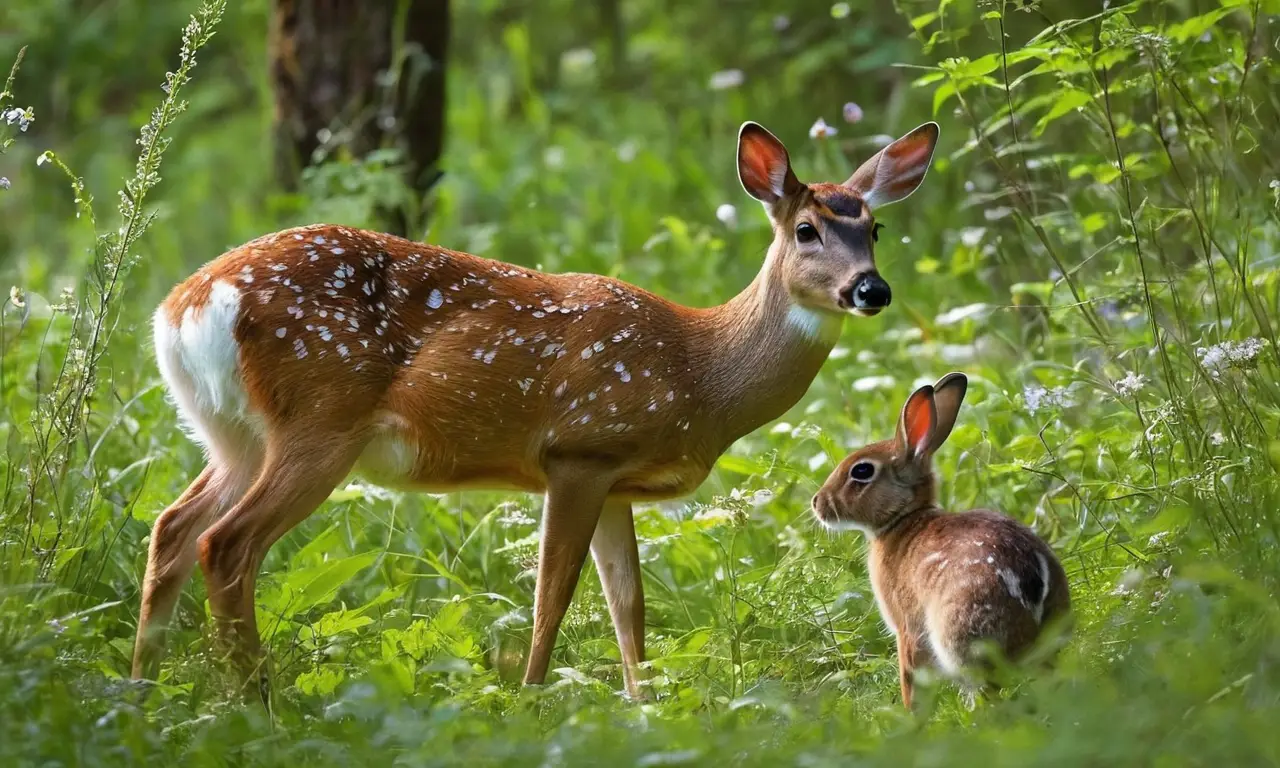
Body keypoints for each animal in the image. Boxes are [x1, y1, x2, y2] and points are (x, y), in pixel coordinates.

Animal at [132, 119, 940, 700]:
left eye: (874, 229)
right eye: (806, 230)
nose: (871, 289)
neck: (700, 372)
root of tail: (186, 307)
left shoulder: (617, 482)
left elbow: (628, 607)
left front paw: (644, 707)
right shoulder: (579, 450)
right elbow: (554, 596)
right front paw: (529, 700)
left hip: (230, 435)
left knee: (172, 527)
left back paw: (143, 693)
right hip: (319, 419)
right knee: (226, 544)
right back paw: (261, 704)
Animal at [811, 372, 1070, 709]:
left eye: (862, 470)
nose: (817, 503)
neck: (902, 518)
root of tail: (1032, 585)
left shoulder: (907, 630)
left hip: (961, 636)